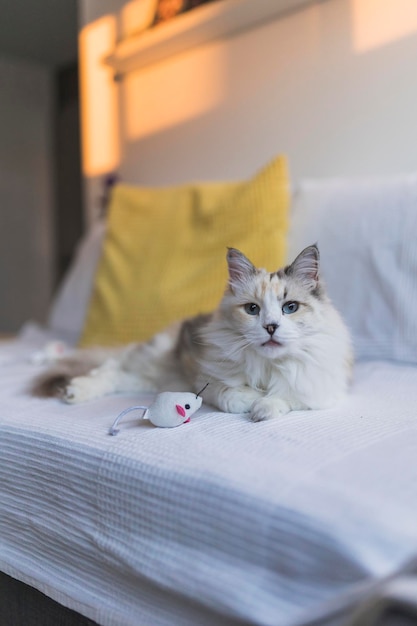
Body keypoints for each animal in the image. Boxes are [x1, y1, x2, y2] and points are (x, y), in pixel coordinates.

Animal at [32, 244, 352, 420]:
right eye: (252, 310)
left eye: (290, 308)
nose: (271, 327)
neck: (267, 366)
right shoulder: (205, 380)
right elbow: (230, 396)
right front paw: (251, 400)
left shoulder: (324, 389)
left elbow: (289, 395)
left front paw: (263, 408)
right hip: (153, 358)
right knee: (108, 369)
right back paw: (73, 392)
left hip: (151, 378)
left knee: (116, 376)